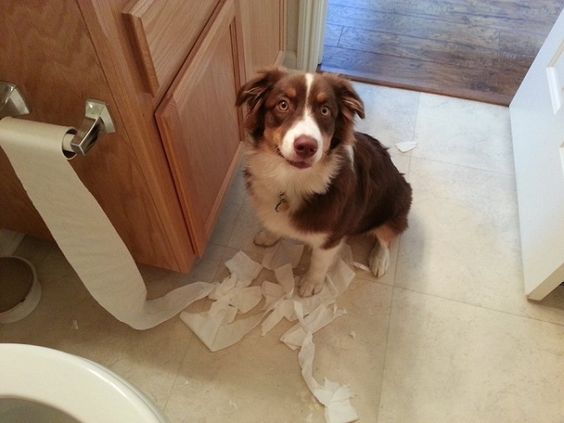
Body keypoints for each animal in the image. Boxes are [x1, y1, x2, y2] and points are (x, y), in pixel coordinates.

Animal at [236, 69, 412, 298]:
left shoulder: (332, 235)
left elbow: (319, 262)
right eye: (283, 105)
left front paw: (311, 284)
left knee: (386, 237)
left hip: (395, 205)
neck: (292, 178)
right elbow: (274, 224)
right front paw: (268, 236)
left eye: (325, 110)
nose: (306, 146)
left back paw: (379, 260)